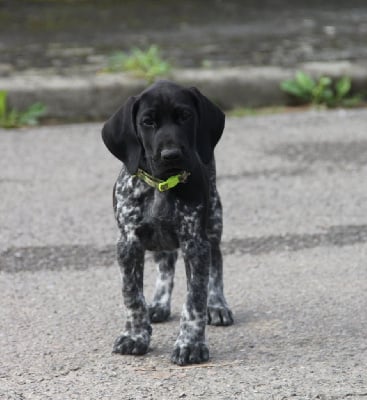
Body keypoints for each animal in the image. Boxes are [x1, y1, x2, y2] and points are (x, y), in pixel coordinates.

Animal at [101, 79, 233, 364]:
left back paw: (217, 305)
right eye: (148, 122)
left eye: (185, 116)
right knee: (166, 263)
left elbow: (195, 299)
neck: (161, 185)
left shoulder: (195, 244)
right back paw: (159, 304)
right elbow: (132, 296)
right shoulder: (128, 243)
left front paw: (191, 344)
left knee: (216, 264)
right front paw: (135, 335)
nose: (171, 155)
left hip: (213, 222)